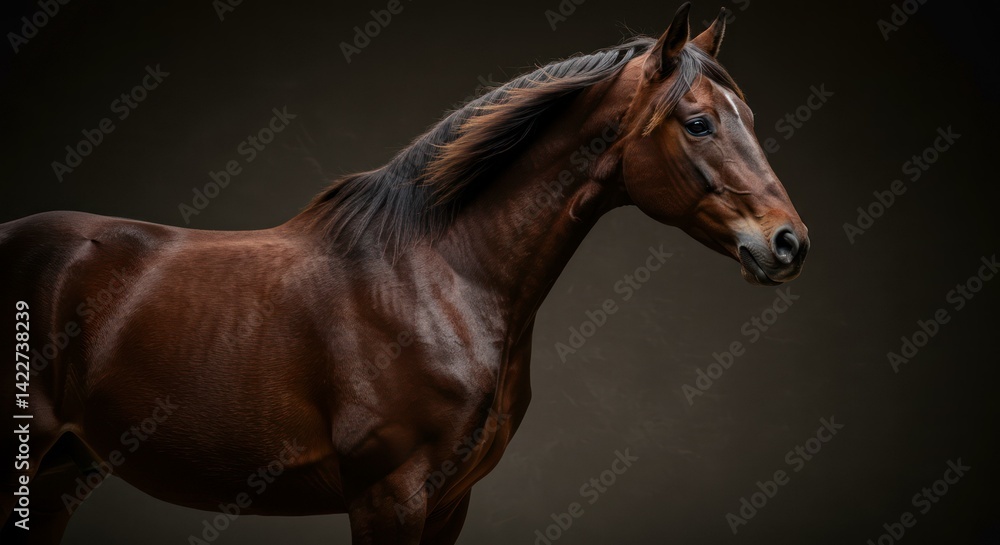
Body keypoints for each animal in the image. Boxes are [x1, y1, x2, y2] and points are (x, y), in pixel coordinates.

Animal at [1, 4, 808, 543]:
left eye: (749, 115)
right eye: (699, 123)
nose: (789, 242)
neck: (439, 276)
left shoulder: (449, 502)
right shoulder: (388, 496)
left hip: (63, 473)